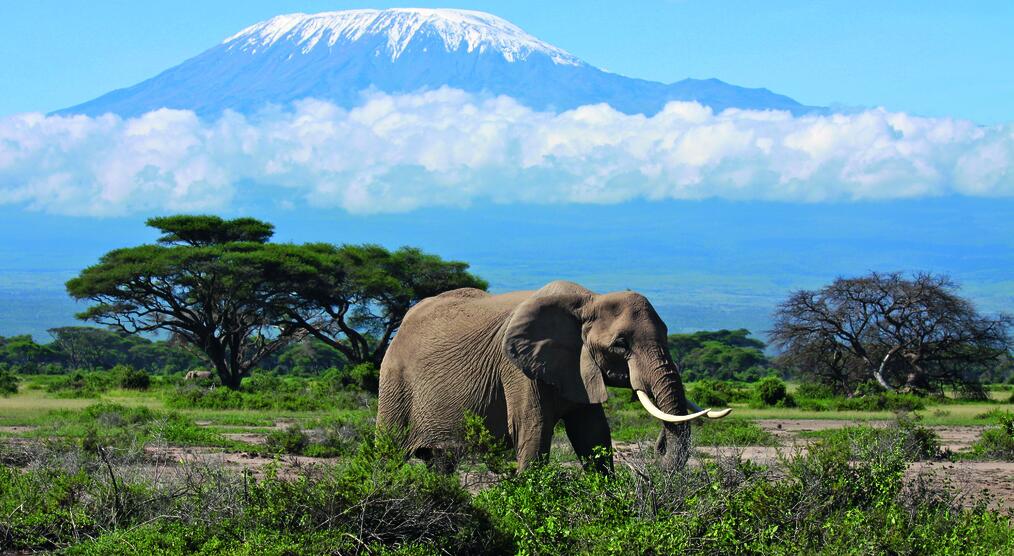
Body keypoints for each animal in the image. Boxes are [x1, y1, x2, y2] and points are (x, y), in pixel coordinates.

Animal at [377, 280, 730, 472]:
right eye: (620, 344)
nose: (658, 447)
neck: (589, 300)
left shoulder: (578, 367)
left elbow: (594, 437)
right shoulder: (516, 370)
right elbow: (533, 434)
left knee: (441, 463)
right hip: (394, 382)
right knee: (388, 454)